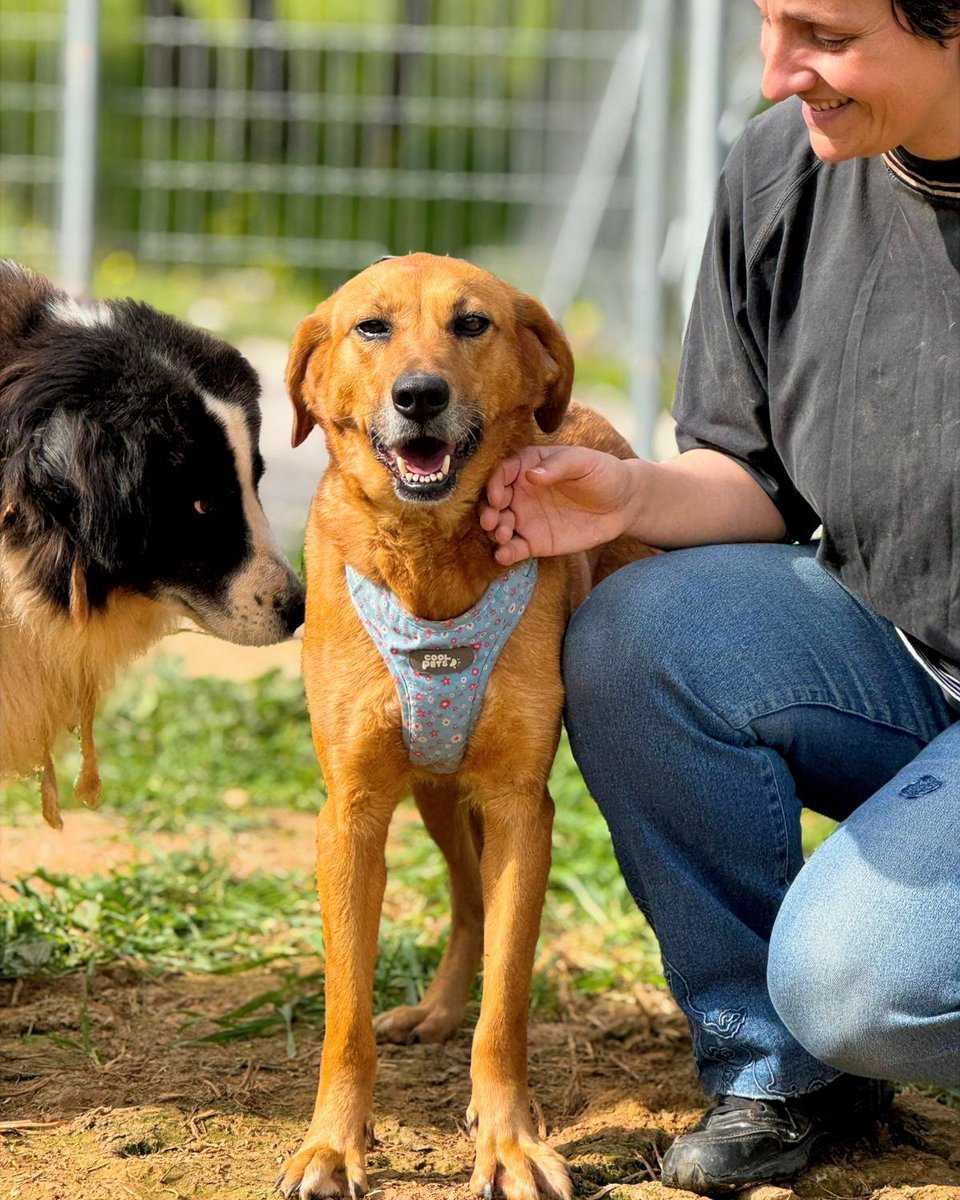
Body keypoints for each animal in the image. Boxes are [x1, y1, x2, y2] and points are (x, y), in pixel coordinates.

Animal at [280, 252, 653, 1200]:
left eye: (472, 323)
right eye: (371, 327)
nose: (419, 395)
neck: (429, 562)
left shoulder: (523, 806)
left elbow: (507, 1004)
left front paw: (510, 1141)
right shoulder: (351, 814)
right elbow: (346, 1013)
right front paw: (332, 1144)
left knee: (484, 909)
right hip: (435, 794)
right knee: (466, 899)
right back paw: (440, 1009)